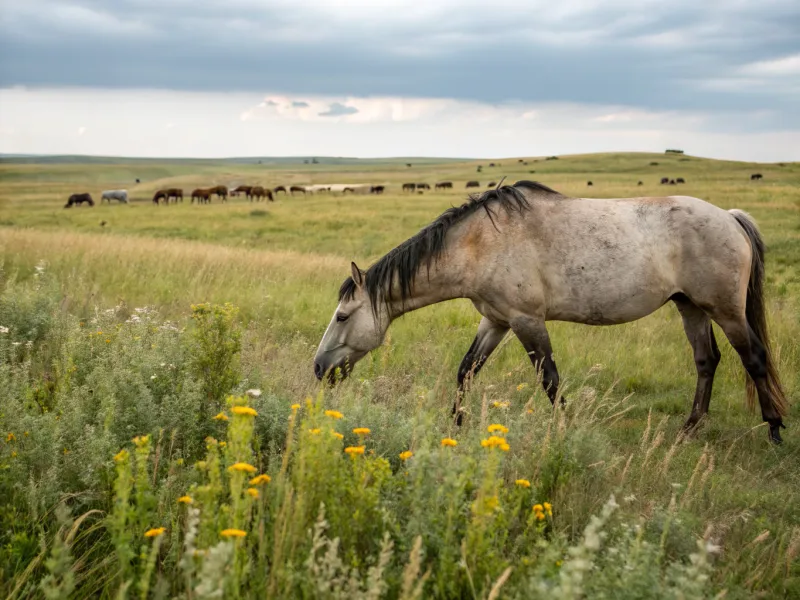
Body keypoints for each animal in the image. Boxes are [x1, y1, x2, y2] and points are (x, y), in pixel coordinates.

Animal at [312, 180, 788, 442]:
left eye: (342, 317)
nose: (319, 369)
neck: (481, 243)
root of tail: (729, 216)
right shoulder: (496, 320)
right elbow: (466, 370)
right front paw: (455, 425)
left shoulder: (526, 321)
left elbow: (550, 380)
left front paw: (566, 430)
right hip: (690, 307)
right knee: (707, 361)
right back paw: (690, 429)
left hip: (725, 310)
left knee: (754, 358)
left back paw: (774, 429)